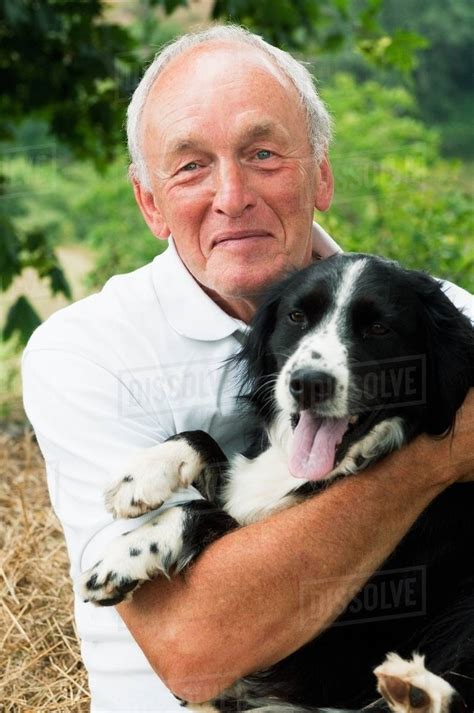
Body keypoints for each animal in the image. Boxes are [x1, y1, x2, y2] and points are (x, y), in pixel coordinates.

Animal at [79, 256, 472, 712]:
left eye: (379, 327)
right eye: (297, 317)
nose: (308, 383)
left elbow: (208, 512)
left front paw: (126, 554)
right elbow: (206, 446)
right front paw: (144, 474)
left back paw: (417, 691)